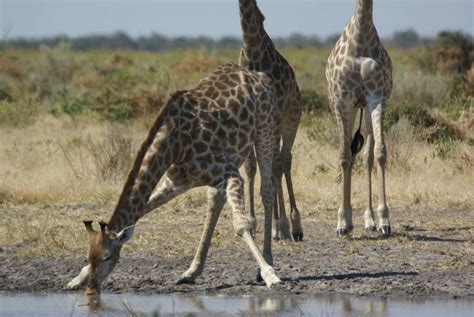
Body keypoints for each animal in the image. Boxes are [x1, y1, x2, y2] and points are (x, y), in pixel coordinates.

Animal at [66, 63, 282, 294]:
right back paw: (192, 271)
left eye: (107, 257)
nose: (92, 287)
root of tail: (257, 75)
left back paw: (266, 263)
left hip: (265, 131)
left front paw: (270, 274)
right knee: (215, 199)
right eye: (89, 256)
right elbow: (141, 210)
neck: (175, 144)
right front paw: (78, 278)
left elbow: (241, 224)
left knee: (267, 191)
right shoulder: (179, 181)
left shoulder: (231, 173)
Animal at [237, 0, 304, 239]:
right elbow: (250, 167)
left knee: (283, 160)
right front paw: (251, 220)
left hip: (291, 117)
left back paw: (292, 225)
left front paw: (281, 223)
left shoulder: (275, 112)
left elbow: (274, 165)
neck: (252, 48)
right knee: (274, 161)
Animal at [326, 0, 392, 235]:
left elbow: (380, 152)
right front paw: (342, 222)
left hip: (363, 108)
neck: (361, 35)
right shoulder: (341, 101)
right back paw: (350, 222)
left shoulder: (377, 97)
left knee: (366, 157)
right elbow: (344, 156)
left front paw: (384, 220)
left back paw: (369, 220)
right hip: (351, 108)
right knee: (350, 154)